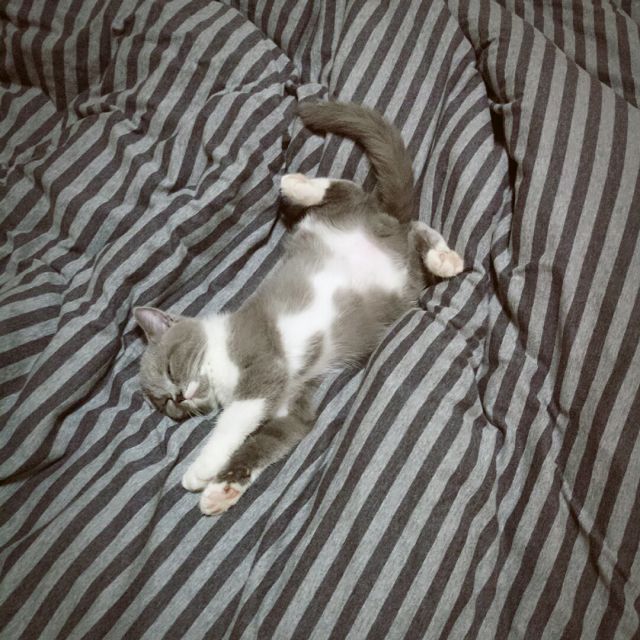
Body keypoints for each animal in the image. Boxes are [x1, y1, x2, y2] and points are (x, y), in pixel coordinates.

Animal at [133, 101, 464, 515]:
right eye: (164, 403)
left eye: (169, 367)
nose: (177, 397)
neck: (220, 360)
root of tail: (387, 223)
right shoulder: (292, 407)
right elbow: (269, 441)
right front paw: (223, 488)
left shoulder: (264, 365)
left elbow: (231, 423)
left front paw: (202, 469)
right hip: (406, 284)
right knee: (415, 230)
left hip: (337, 219)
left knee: (356, 194)